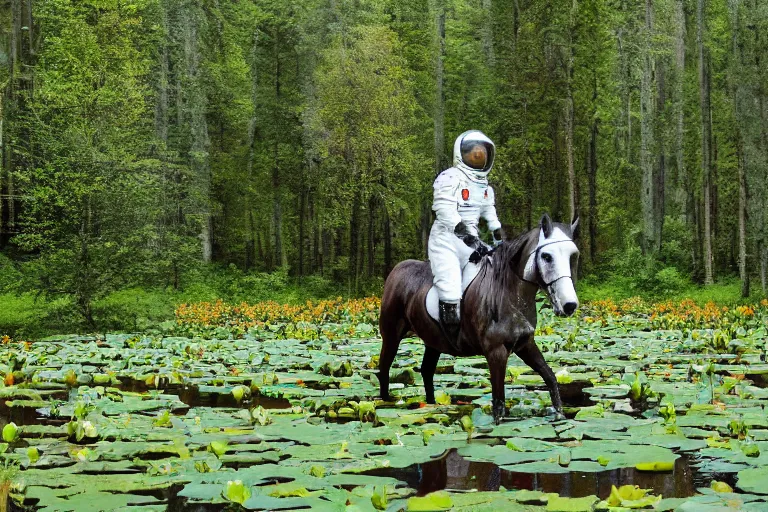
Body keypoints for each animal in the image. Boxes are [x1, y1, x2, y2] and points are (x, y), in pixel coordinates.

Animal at [376, 213, 580, 424]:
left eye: (573, 255)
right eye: (546, 256)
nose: (569, 305)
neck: (507, 292)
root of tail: (396, 270)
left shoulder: (525, 345)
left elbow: (550, 378)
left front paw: (559, 414)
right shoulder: (496, 352)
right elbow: (499, 405)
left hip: (433, 342)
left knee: (426, 372)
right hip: (391, 337)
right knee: (384, 370)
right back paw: (385, 405)